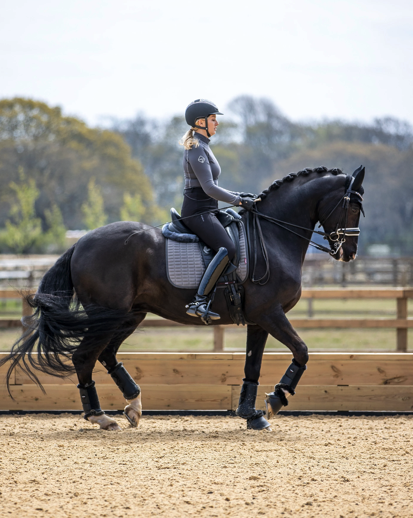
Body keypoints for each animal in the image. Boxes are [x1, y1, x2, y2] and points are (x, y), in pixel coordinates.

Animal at [2, 166, 364, 430]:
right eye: (353, 205)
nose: (348, 252)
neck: (273, 235)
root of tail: (80, 243)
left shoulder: (259, 320)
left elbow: (253, 365)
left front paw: (251, 414)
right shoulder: (270, 313)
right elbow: (302, 351)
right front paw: (275, 400)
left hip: (129, 315)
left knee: (104, 355)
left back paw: (133, 406)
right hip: (108, 314)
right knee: (83, 357)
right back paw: (99, 416)